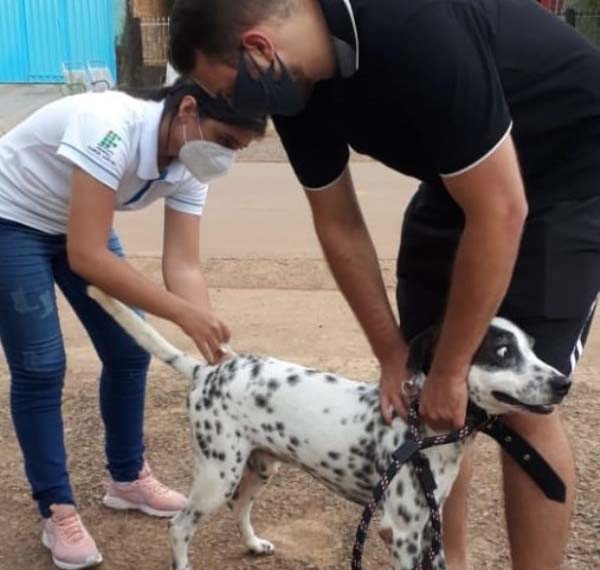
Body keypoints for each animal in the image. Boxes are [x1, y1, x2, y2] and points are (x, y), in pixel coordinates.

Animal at [86, 288, 568, 568]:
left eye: (532, 347)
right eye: (502, 352)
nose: (563, 381)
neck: (426, 431)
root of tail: (207, 371)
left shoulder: (431, 526)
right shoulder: (400, 533)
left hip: (259, 467)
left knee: (239, 508)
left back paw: (254, 544)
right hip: (215, 476)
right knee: (180, 526)